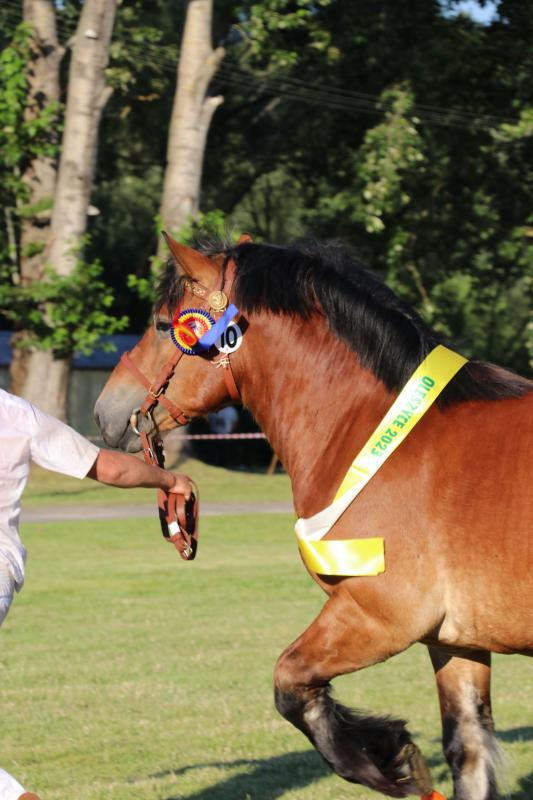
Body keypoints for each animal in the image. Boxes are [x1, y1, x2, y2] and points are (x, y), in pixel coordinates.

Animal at [94, 233, 533, 800]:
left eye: (163, 323)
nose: (105, 412)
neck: (381, 436)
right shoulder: (453, 640)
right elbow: (469, 753)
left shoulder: (378, 617)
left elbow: (290, 683)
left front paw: (389, 756)